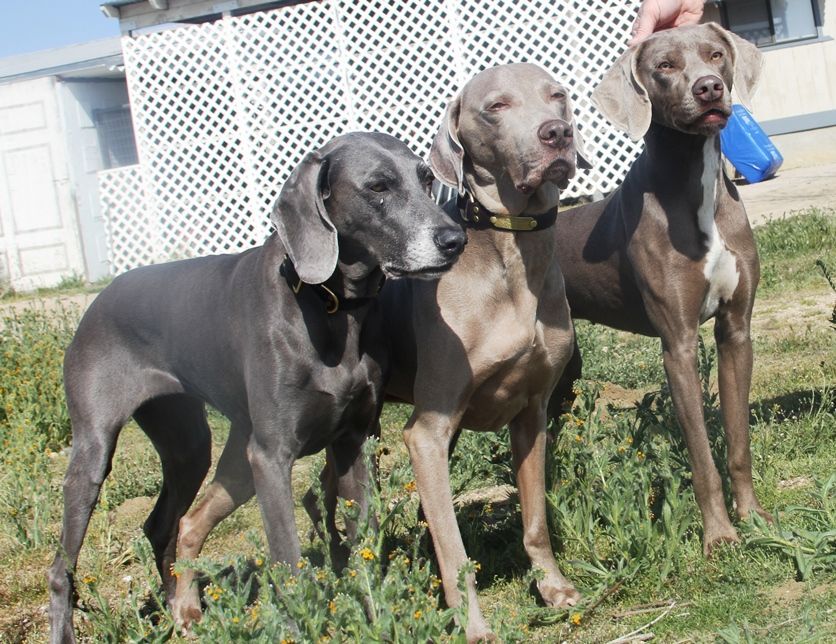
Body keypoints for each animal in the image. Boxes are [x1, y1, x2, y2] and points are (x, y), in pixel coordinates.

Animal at [45, 133, 466, 640]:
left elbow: (362, 543)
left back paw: (182, 610)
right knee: (62, 566)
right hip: (97, 453)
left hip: (197, 449)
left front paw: (375, 615)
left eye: (426, 179)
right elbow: (288, 559)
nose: (454, 239)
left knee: (170, 524)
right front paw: (302, 624)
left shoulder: (352, 442)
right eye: (378, 187)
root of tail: (100, 297)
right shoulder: (271, 457)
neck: (330, 306)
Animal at [556, 25, 772, 556]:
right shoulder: (678, 344)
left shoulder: (736, 332)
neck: (697, 184)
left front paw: (752, 517)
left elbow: (738, 440)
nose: (709, 88)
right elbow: (701, 455)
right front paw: (719, 535)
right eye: (665, 66)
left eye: (716, 55)